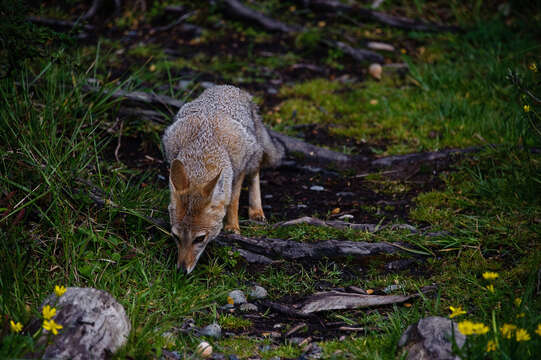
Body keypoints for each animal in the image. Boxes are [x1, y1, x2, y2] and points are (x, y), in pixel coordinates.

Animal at [162, 86, 284, 274]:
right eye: (175, 236)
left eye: (199, 239)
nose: (182, 270)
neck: (204, 144)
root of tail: (230, 87)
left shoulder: (238, 171)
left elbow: (233, 200)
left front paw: (232, 227)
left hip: (253, 157)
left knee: (255, 174)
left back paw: (256, 211)